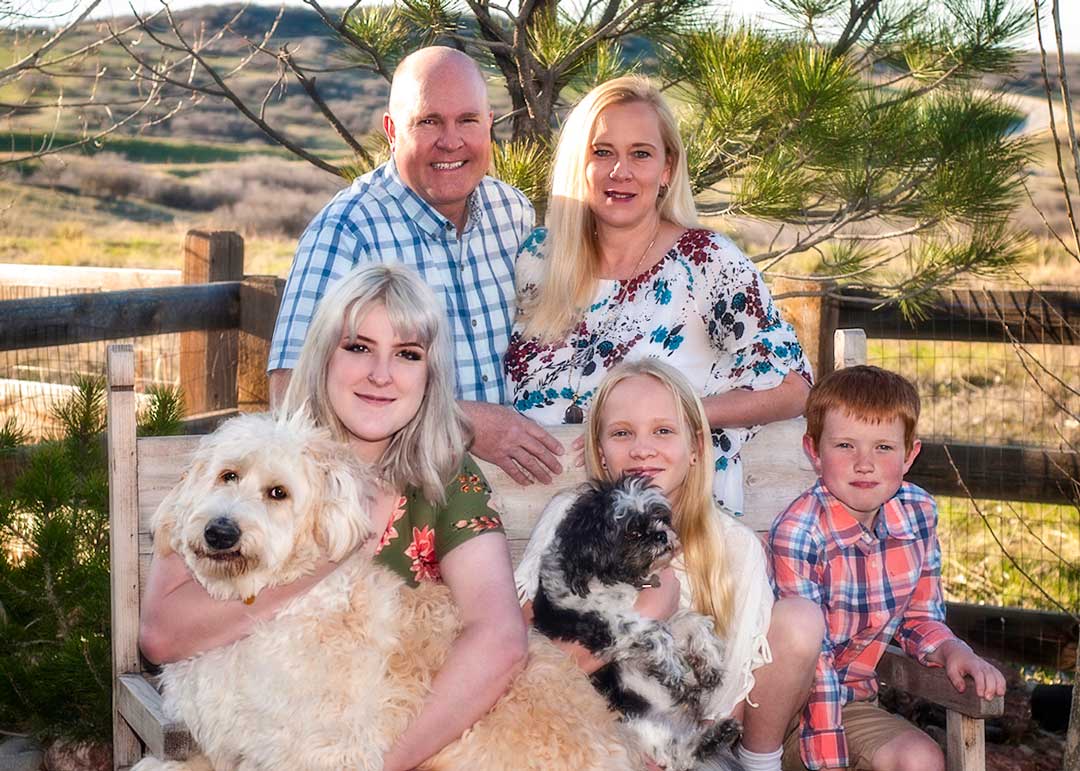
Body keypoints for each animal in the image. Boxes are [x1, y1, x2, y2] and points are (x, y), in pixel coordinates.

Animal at [514, 475, 743, 768]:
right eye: (632, 531)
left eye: (660, 518)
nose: (661, 534)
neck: (619, 580)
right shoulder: (606, 625)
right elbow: (656, 632)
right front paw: (675, 671)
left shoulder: (663, 615)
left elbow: (690, 620)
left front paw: (709, 663)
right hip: (630, 719)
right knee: (676, 754)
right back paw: (712, 737)